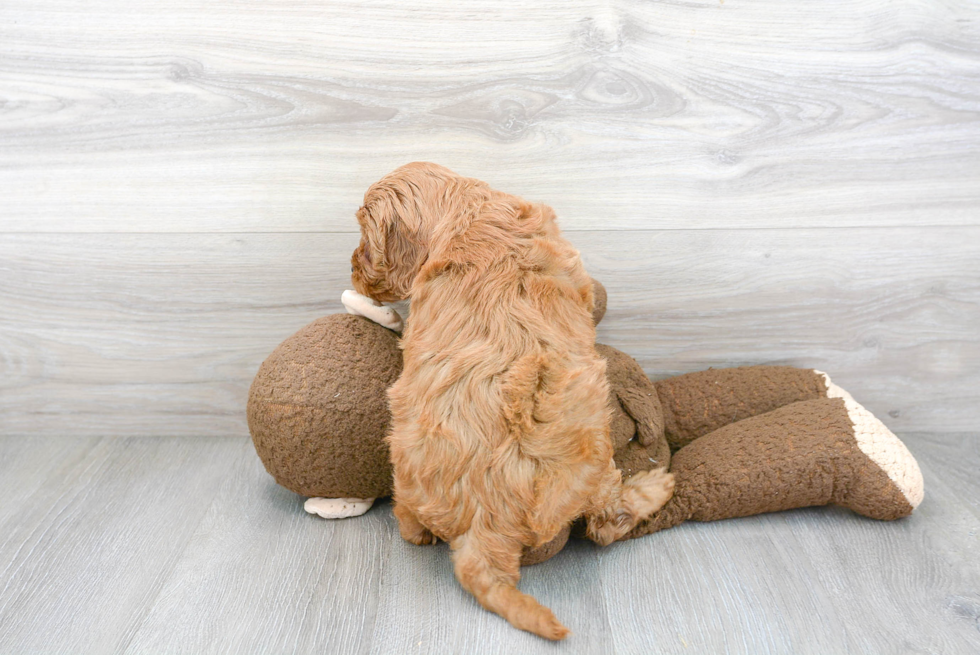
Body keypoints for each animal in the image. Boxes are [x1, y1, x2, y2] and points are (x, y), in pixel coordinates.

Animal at [348, 163, 668, 640]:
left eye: (366, 242)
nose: (352, 272)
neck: (469, 214)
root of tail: (487, 525)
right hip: (597, 460)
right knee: (605, 523)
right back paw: (657, 486)